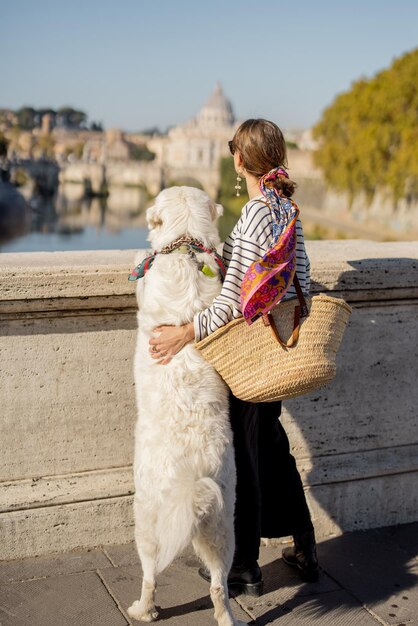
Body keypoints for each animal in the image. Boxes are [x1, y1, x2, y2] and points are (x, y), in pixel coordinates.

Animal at [126, 185, 245, 624]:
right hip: (223, 527)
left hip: (147, 519)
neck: (185, 246)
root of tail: (192, 476)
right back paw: (227, 617)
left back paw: (143, 610)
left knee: (149, 574)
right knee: (218, 587)